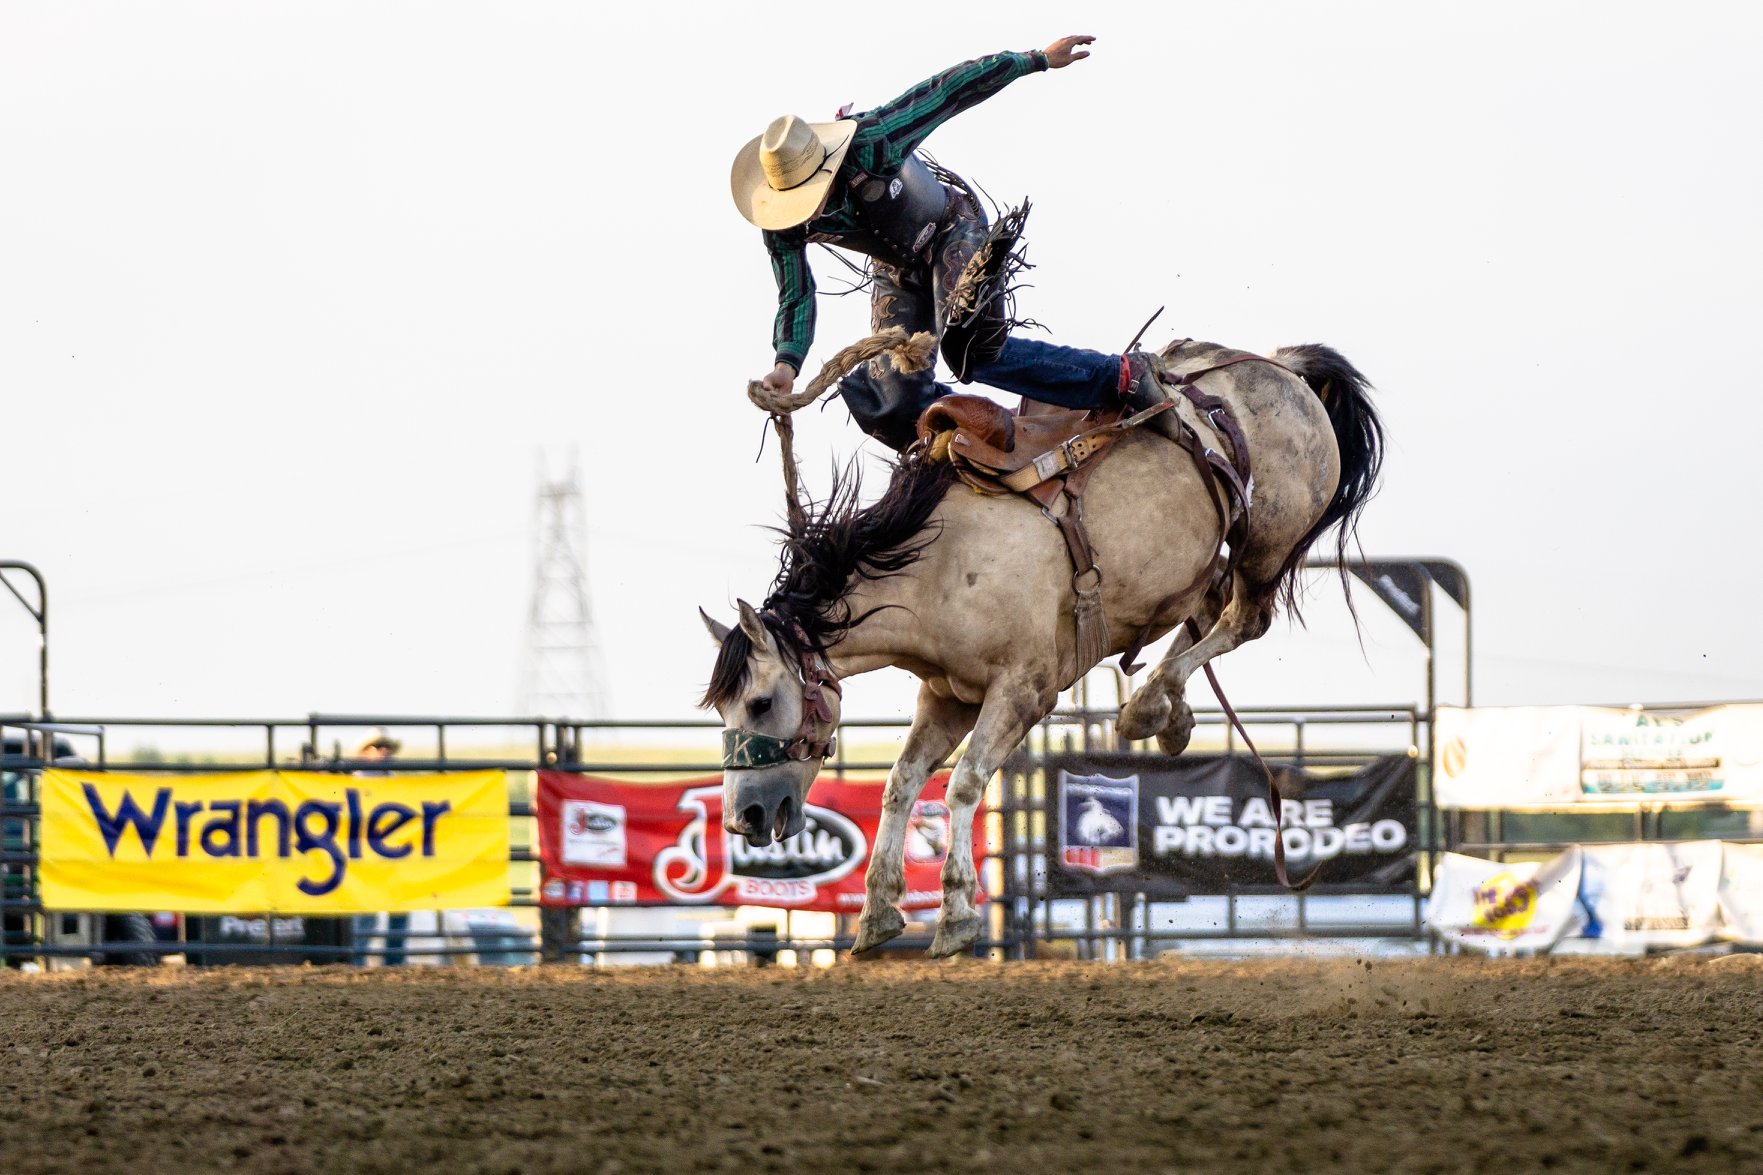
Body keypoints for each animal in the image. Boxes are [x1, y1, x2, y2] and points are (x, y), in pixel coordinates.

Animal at [698, 329, 1375, 952]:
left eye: (760, 703)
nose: (741, 816)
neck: (939, 563)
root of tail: (1280, 365)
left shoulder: (1024, 692)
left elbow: (966, 781)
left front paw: (956, 915)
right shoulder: (947, 696)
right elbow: (901, 784)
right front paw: (877, 913)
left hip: (1267, 541)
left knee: (1243, 619)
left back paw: (1146, 705)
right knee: (1203, 612)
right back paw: (1170, 714)